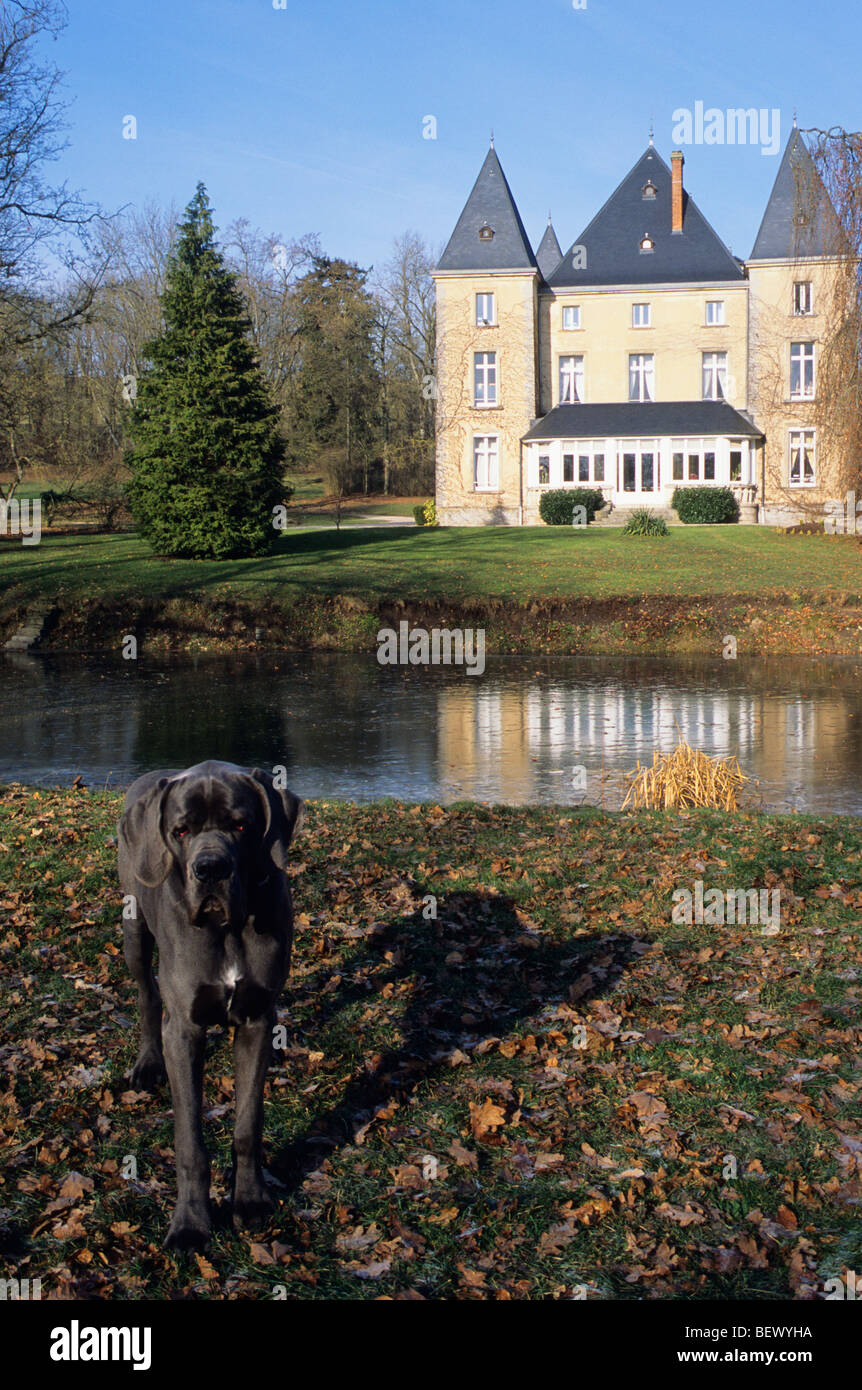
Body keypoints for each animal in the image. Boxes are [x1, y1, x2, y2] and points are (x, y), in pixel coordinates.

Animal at [116, 761, 301, 1251]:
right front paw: (190, 1224)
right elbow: (190, 1144)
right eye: (180, 831)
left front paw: (250, 1200)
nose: (210, 868)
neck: (228, 929)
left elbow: (248, 1123)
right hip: (134, 927)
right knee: (147, 996)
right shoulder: (183, 1029)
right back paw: (147, 1064)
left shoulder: (256, 1018)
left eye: (240, 825)